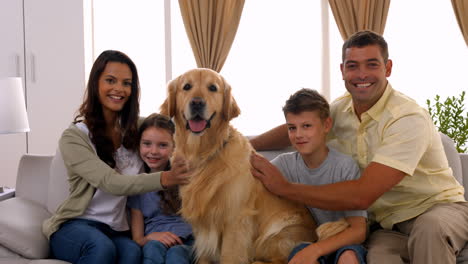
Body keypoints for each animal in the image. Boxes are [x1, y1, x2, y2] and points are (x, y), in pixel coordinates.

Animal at [160, 68, 318, 264]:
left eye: (213, 88)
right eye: (187, 87)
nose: (197, 103)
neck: (204, 153)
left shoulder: (236, 220)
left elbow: (230, 256)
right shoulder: (201, 222)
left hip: (276, 234)